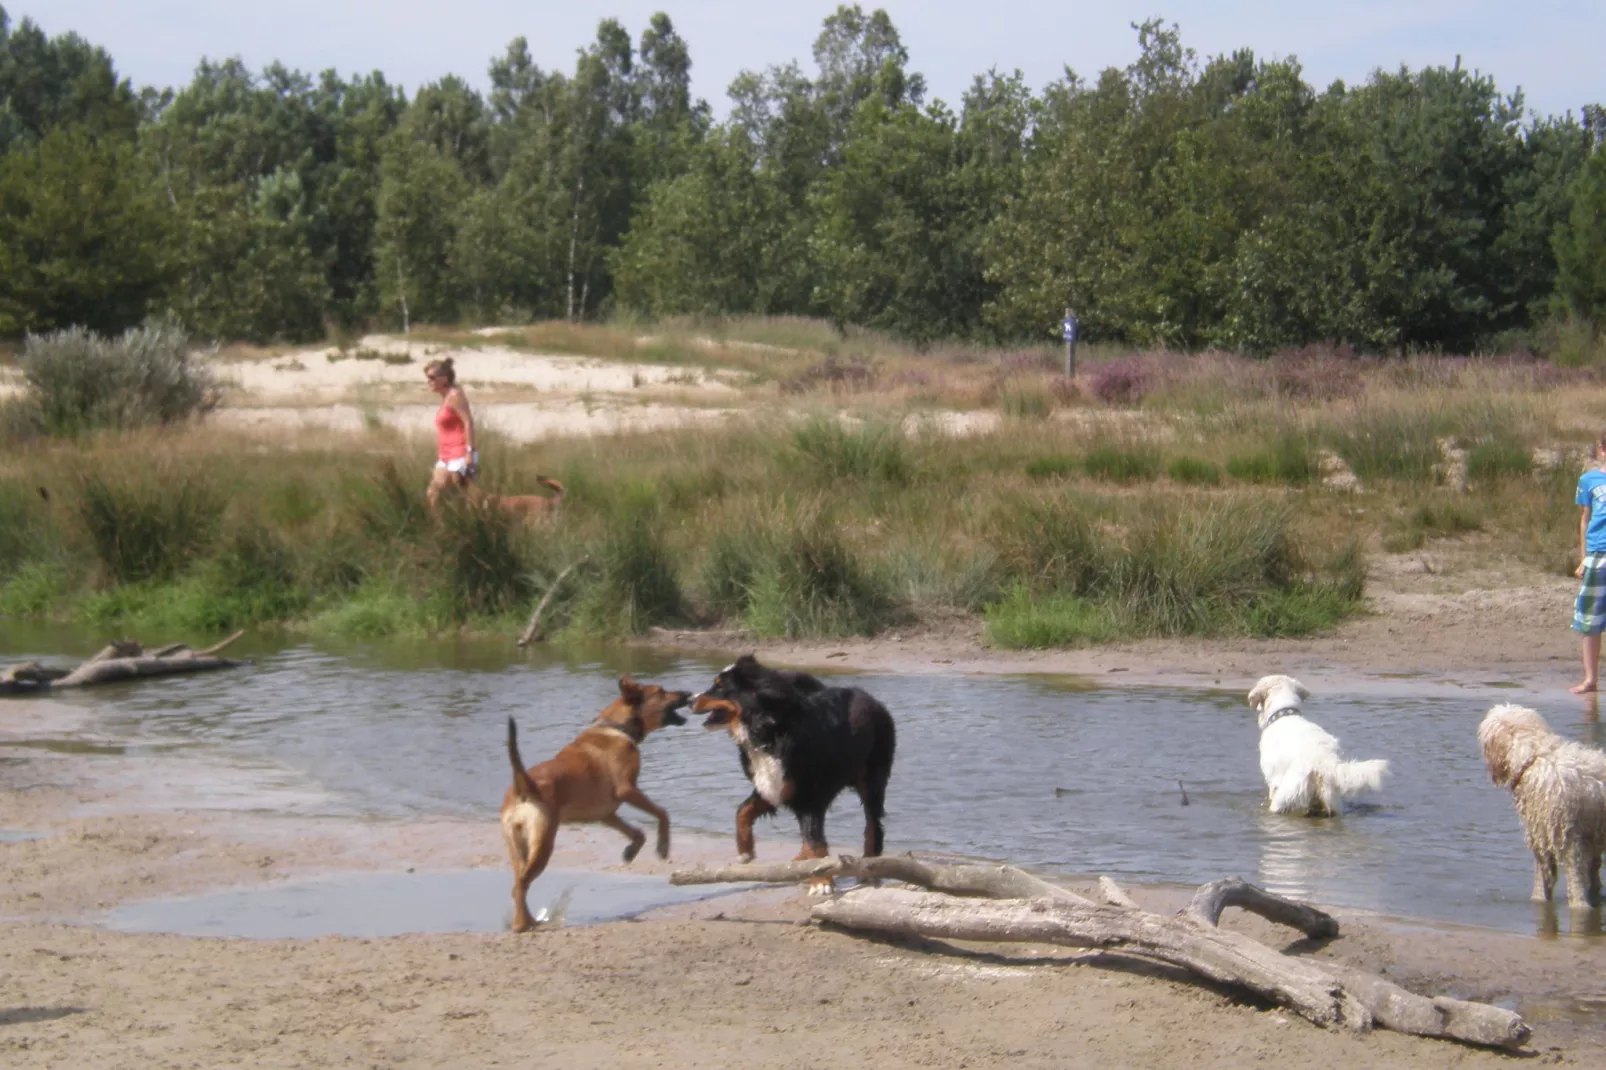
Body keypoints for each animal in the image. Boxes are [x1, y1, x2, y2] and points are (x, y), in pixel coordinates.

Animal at [494, 674, 684, 925]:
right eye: (661, 691)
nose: (688, 693)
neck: (616, 727)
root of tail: (524, 785)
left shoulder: (605, 814)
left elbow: (638, 833)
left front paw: (631, 851)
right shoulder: (627, 790)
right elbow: (662, 813)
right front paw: (663, 846)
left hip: (519, 847)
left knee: (517, 884)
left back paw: (528, 921)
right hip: (543, 843)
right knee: (521, 884)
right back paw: (522, 925)